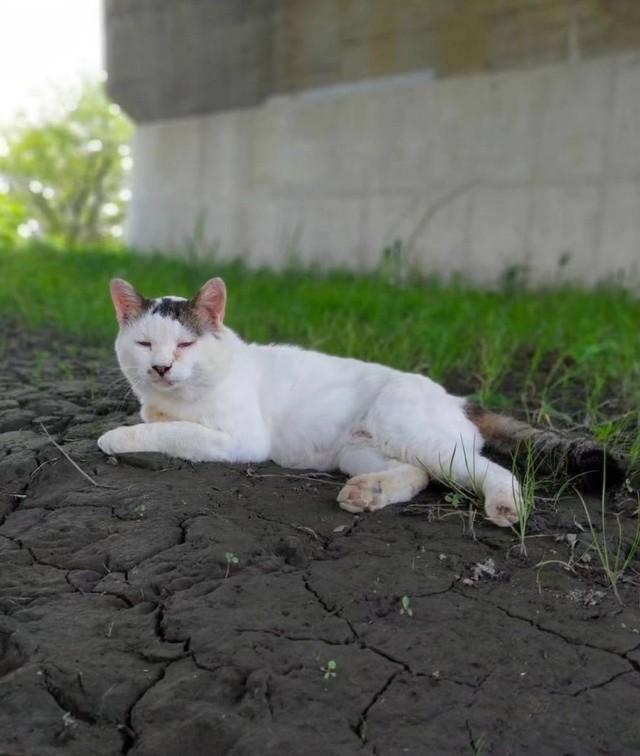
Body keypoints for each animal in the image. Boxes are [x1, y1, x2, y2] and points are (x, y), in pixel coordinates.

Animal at [96, 274, 620, 528]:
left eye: (185, 345)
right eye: (145, 344)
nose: (161, 368)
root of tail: (457, 397)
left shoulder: (240, 440)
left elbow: (171, 430)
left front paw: (118, 437)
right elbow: (161, 419)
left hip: (411, 430)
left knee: (493, 471)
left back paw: (507, 506)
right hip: (362, 450)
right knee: (419, 474)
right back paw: (369, 493)